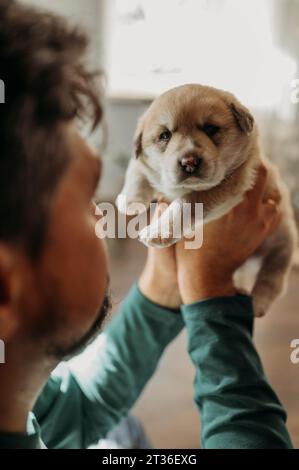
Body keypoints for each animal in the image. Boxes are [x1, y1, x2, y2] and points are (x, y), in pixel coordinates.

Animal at [117, 84, 298, 316]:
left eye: (211, 129)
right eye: (165, 135)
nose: (189, 162)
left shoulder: (228, 185)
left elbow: (185, 204)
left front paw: (158, 231)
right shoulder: (144, 163)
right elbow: (136, 167)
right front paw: (130, 200)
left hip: (283, 242)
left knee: (273, 277)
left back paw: (258, 303)